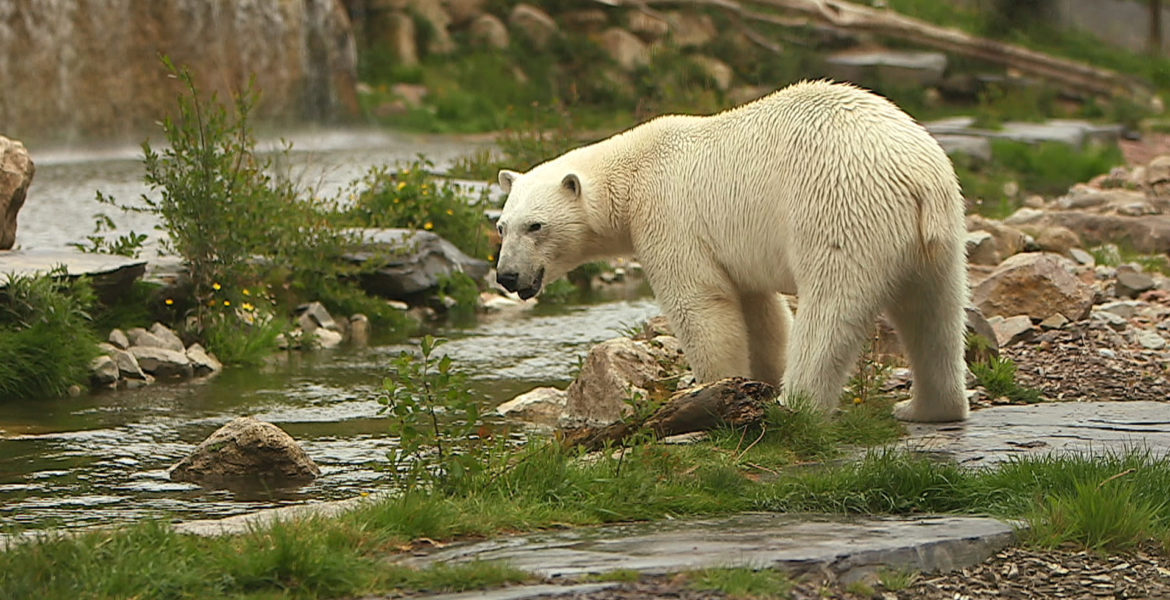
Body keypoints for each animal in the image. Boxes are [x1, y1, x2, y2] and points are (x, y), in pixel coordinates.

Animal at [493, 80, 968, 421]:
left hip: (839, 208)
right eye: (501, 226)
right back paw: (926, 409)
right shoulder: (733, 249)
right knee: (935, 312)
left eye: (535, 226)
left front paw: (711, 391)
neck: (632, 174)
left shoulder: (671, 219)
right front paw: (756, 381)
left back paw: (796, 408)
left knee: (831, 310)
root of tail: (917, 176)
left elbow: (700, 305)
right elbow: (761, 312)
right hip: (939, 231)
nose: (507, 276)